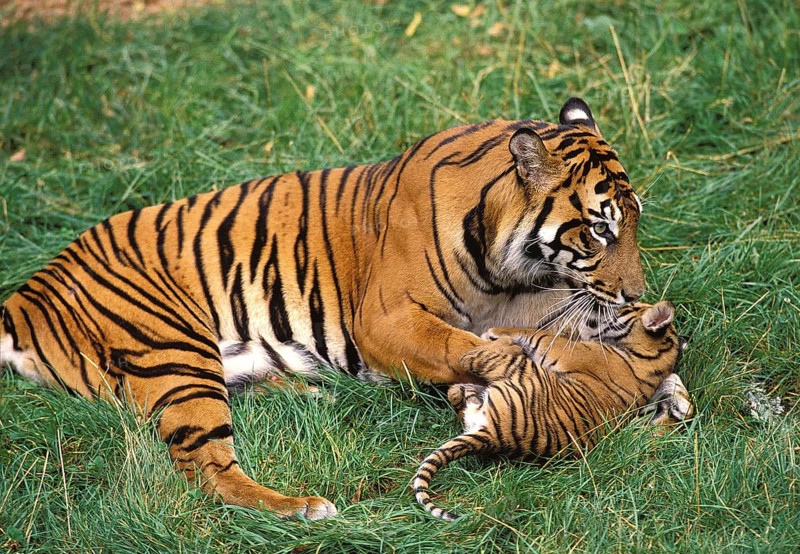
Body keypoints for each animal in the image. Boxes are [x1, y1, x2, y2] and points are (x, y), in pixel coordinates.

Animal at [0, 97, 646, 519]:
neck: (504, 265)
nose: (636, 292)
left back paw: (313, 395)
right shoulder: (383, 319)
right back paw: (302, 506)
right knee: (206, 467)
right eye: (599, 229)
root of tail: (26, 293)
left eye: (636, 221)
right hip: (173, 350)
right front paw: (518, 368)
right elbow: (460, 344)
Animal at [413, 300, 693, 521]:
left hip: (521, 370)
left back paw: (496, 343)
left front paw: (496, 331)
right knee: (457, 394)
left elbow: (536, 334)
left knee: (470, 358)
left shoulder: (566, 349)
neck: (655, 357)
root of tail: (493, 435)